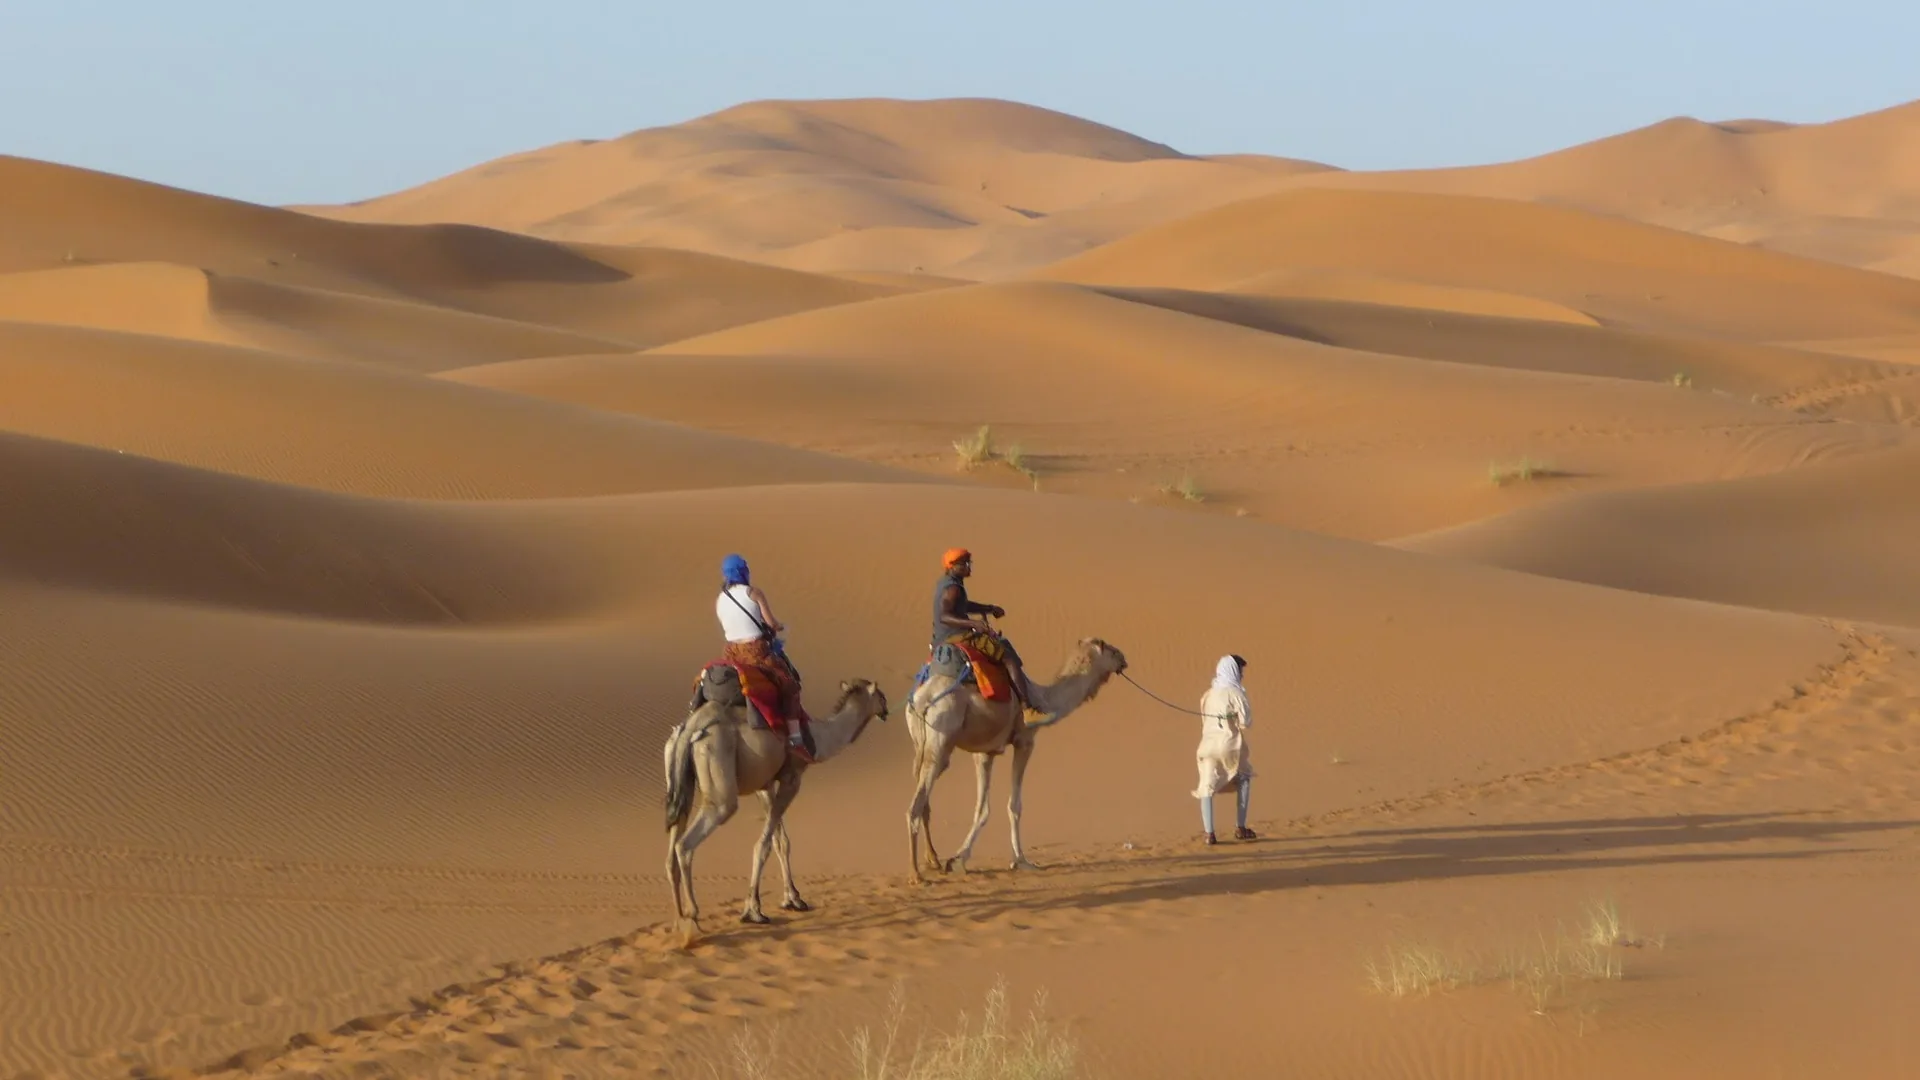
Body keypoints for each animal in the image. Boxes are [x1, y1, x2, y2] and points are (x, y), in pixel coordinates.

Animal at [663, 676, 889, 945]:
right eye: (881, 696)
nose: (886, 711)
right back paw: (693, 919)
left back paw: (678, 921)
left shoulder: (766, 784)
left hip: (679, 777)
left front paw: (793, 899)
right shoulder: (792, 778)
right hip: (718, 780)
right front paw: (753, 910)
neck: (818, 737)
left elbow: (781, 841)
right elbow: (763, 845)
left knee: (673, 844)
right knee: (686, 844)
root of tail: (690, 728)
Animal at [904, 636, 1128, 882]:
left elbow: (982, 808)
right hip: (941, 738)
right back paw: (915, 874)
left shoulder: (985, 752)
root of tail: (923, 699)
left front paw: (957, 860)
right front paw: (1021, 861)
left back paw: (932, 860)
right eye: (1109, 649)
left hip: (920, 742)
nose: (1123, 658)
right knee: (916, 804)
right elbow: (1014, 806)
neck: (1044, 699)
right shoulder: (1024, 742)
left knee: (924, 798)